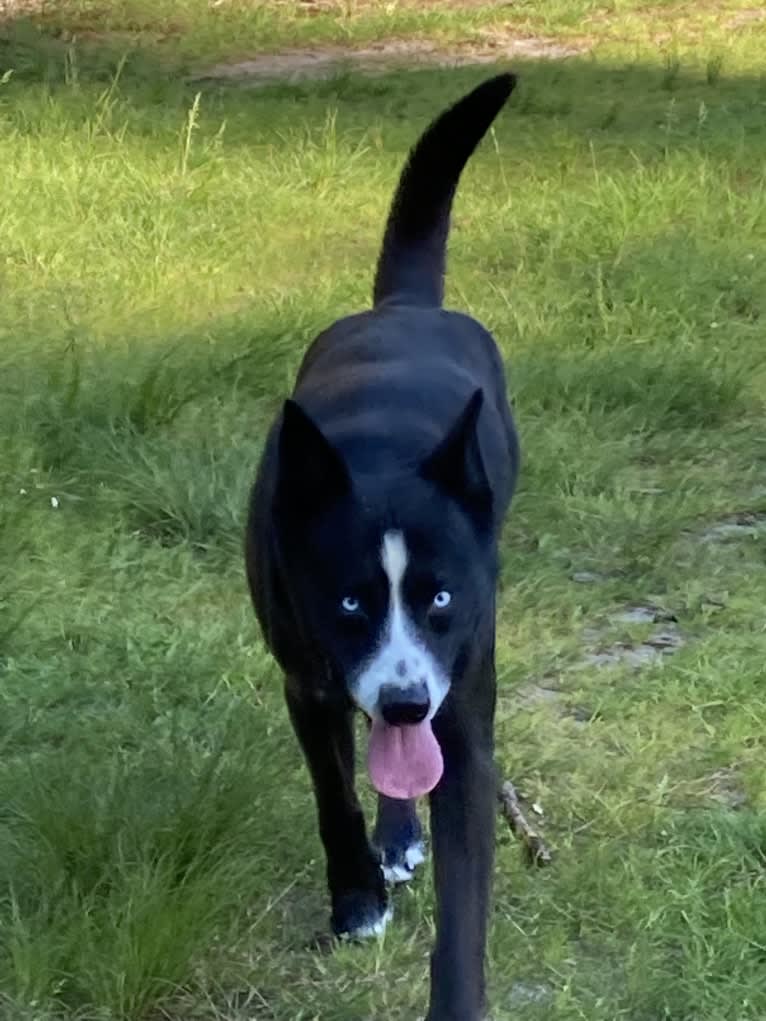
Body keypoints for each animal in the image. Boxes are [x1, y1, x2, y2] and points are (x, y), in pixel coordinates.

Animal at [246, 74, 522, 1021]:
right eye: (348, 599)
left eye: (440, 596)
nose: (404, 702)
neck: (380, 454)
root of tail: (405, 309)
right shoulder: (307, 677)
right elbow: (334, 792)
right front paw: (357, 896)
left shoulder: (462, 704)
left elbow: (465, 898)